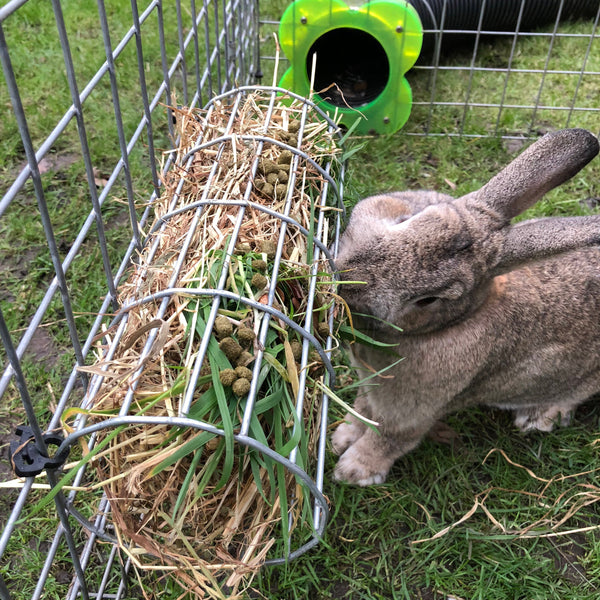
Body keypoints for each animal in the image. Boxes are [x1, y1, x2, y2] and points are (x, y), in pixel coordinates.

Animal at [332, 129, 600, 486]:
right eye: (408, 219)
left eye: (428, 300)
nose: (349, 280)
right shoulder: (369, 387)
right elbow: (362, 410)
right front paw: (341, 437)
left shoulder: (411, 413)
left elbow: (388, 438)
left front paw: (352, 472)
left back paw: (539, 417)